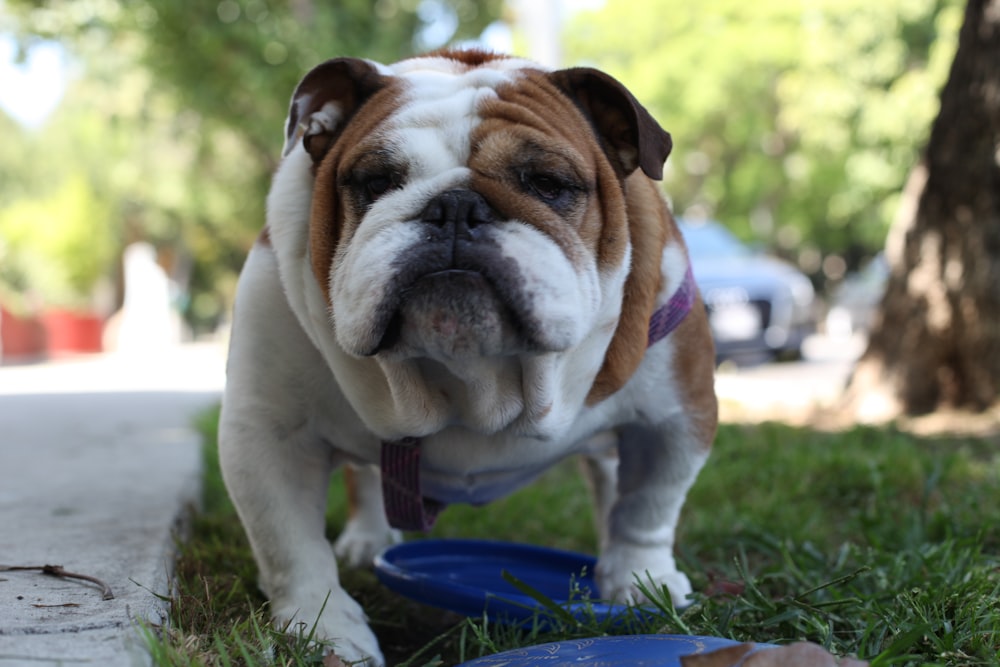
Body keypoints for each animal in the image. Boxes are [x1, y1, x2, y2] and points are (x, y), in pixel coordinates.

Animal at [220, 48, 720, 667]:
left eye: (548, 184)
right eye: (376, 181)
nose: (455, 207)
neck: (474, 382)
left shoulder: (679, 414)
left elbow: (648, 507)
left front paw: (642, 582)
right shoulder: (269, 431)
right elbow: (290, 542)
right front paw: (324, 630)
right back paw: (369, 539)